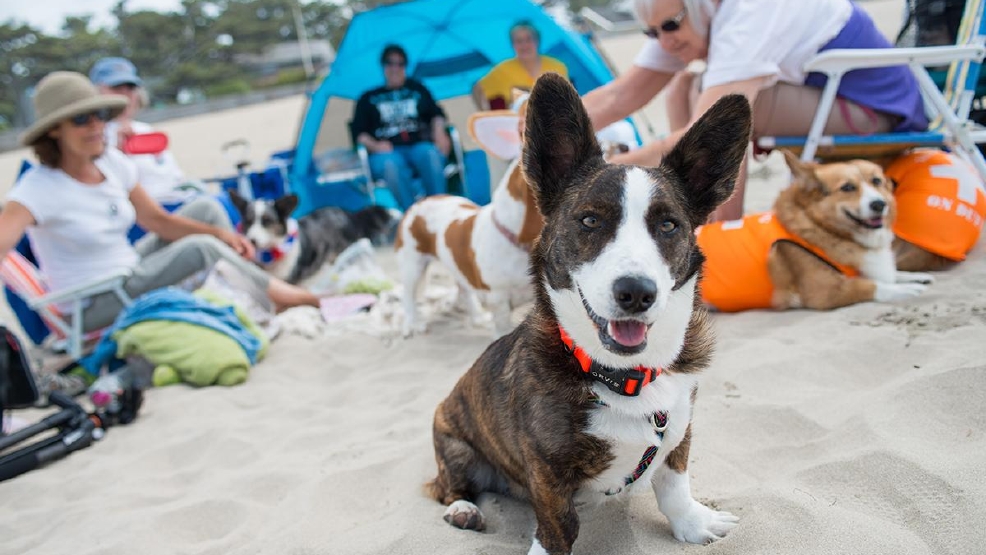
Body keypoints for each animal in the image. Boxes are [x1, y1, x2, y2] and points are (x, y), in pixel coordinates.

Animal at [426, 75, 748, 555]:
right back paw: (463, 510)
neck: (623, 375)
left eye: (668, 225)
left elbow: (674, 485)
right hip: (455, 443)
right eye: (590, 220)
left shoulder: (679, 430)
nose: (636, 293)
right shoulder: (547, 471)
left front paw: (692, 524)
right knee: (448, 487)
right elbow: (558, 526)